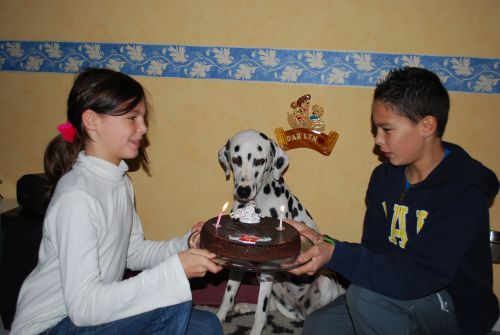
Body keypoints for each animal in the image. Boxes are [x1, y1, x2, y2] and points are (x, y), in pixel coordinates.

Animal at [219, 130, 344, 334]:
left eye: (259, 161)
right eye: (236, 159)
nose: (243, 191)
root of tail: (299, 309)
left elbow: (260, 314)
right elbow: (228, 297)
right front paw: (218, 317)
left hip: (323, 281)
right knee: (271, 306)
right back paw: (245, 306)